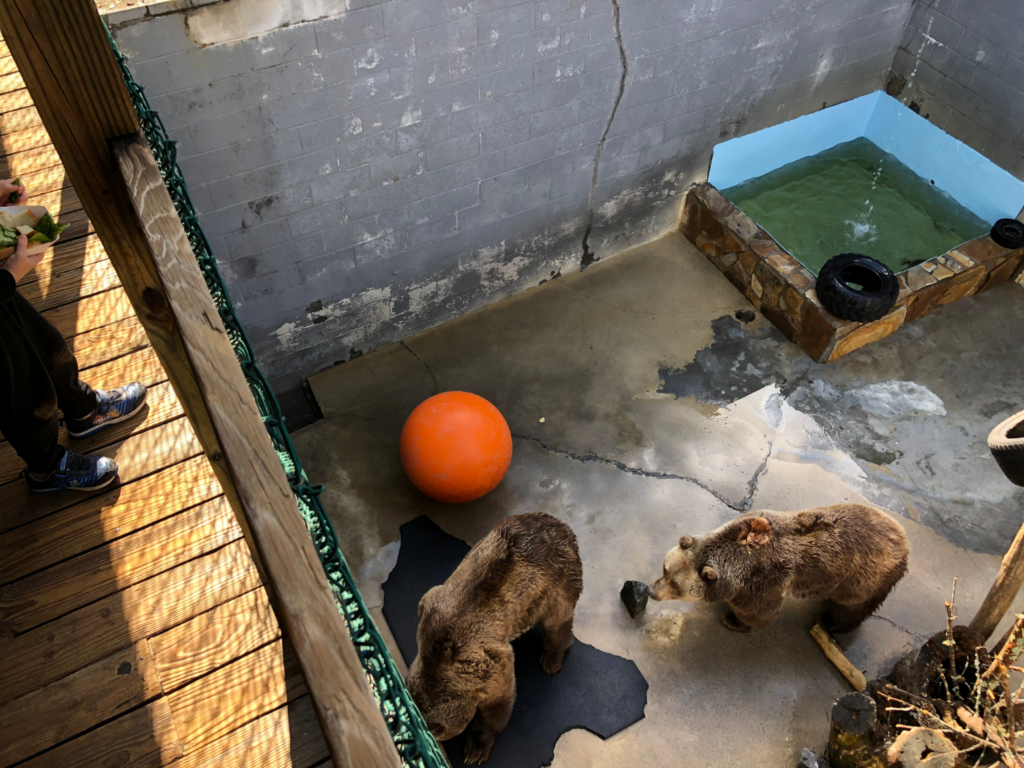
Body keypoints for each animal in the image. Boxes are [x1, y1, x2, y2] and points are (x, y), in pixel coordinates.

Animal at [407, 514, 585, 765]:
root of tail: (559, 523)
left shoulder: (486, 666)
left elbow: (498, 704)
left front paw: (475, 749)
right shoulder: (430, 606)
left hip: (558, 578)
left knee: (558, 619)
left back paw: (552, 658)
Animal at [651, 501, 909, 634]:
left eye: (675, 585)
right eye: (665, 569)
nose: (652, 591)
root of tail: (904, 539)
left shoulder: (763, 581)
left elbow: (759, 611)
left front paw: (731, 619)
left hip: (865, 577)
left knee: (853, 606)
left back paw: (831, 622)